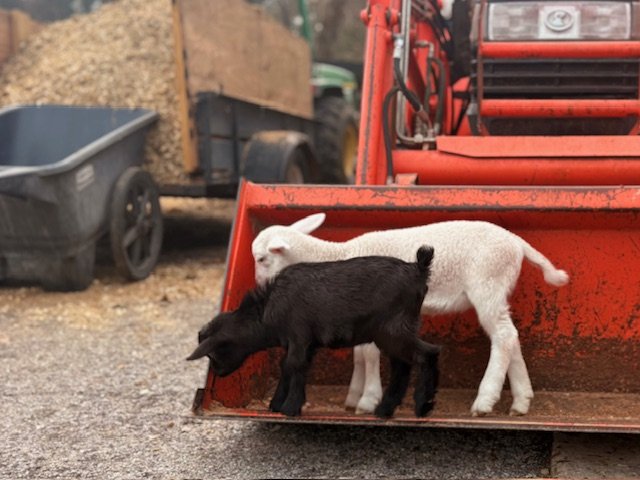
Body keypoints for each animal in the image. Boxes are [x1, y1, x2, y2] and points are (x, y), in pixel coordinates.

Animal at [188, 246, 440, 419]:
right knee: (403, 365)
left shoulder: (299, 335)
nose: (219, 373)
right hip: (392, 333)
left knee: (426, 353)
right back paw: (386, 409)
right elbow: (289, 366)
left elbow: (294, 365)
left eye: (213, 353)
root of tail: (418, 269)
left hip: (394, 329)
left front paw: (290, 407)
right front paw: (278, 404)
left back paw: (422, 405)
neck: (267, 309)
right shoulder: (304, 342)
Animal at [251, 213, 569, 417]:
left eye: (262, 258)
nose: (260, 290)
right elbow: (359, 354)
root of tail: (517, 242)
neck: (336, 256)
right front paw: (353, 397)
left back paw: (484, 400)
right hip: (498, 287)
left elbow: (369, 354)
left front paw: (368, 400)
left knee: (502, 336)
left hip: (487, 283)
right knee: (511, 336)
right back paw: (521, 401)